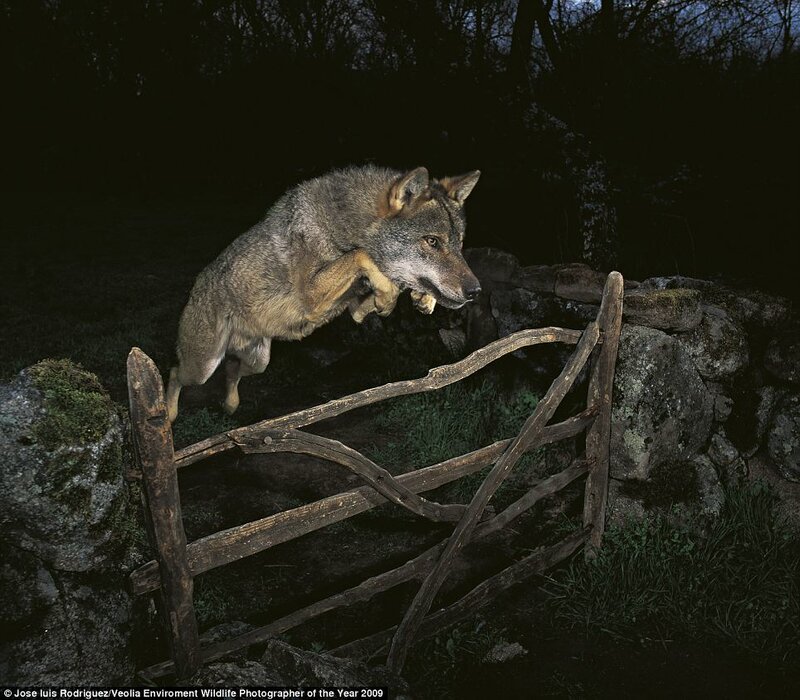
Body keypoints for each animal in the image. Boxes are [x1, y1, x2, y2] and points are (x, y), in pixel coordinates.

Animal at [166, 164, 482, 423]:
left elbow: (381, 284)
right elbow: (361, 255)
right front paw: (390, 294)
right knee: (174, 372)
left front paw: (420, 298)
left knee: (231, 371)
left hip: (258, 362)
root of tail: (197, 285)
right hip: (202, 368)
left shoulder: (354, 309)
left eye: (459, 244)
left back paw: (230, 406)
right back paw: (167, 415)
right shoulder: (312, 295)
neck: (345, 226)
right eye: (432, 242)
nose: (475, 291)